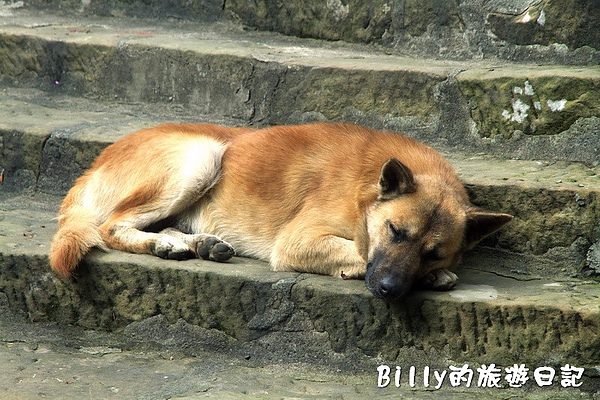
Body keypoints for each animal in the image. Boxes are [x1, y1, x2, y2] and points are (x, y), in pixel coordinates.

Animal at [50, 123, 510, 302]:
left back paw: (195, 244)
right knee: (110, 227)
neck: (364, 192)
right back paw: (164, 244)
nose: (389, 290)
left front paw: (434, 276)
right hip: (201, 158)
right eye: (395, 231)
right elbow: (360, 253)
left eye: (433, 252)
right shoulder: (298, 241)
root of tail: (95, 163)